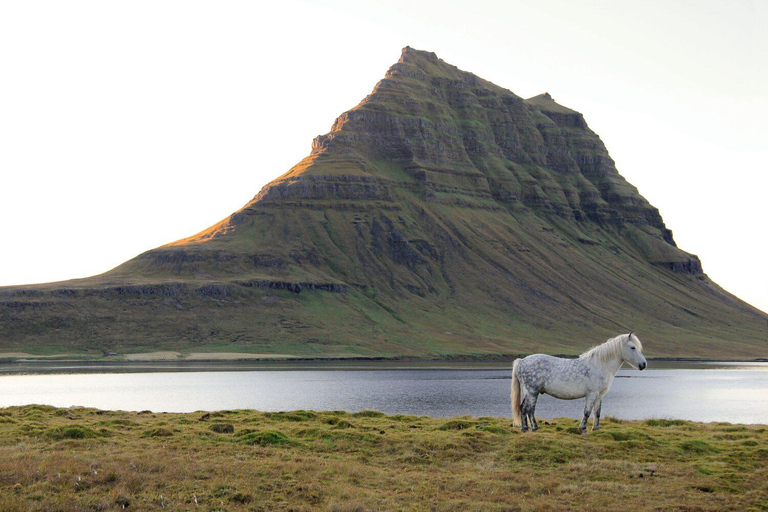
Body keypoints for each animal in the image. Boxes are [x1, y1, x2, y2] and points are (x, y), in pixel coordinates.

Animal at [512, 332, 644, 432]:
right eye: (633, 347)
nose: (643, 364)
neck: (600, 365)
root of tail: (521, 361)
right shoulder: (591, 394)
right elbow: (587, 412)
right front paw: (583, 428)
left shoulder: (599, 395)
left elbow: (597, 412)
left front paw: (596, 428)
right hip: (532, 391)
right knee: (529, 409)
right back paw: (534, 427)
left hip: (529, 392)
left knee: (523, 408)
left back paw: (524, 428)